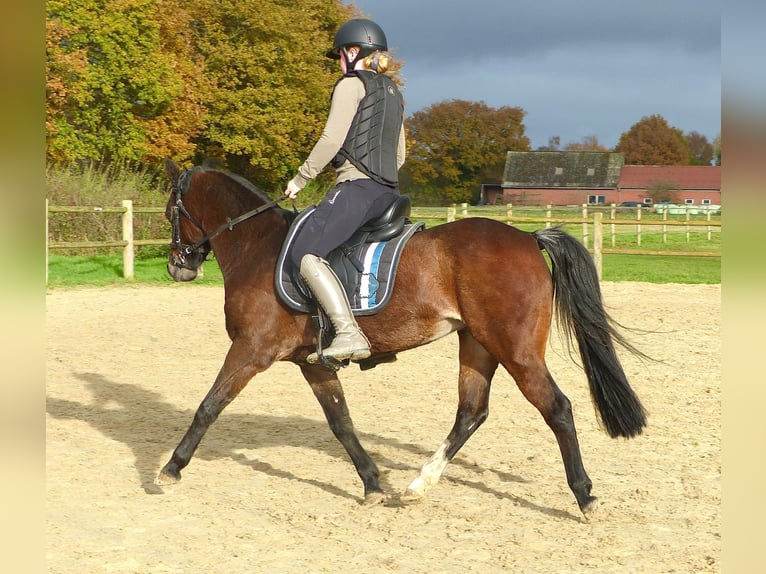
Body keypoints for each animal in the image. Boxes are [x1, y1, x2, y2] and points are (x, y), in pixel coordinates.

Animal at [156, 159, 648, 516]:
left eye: (170, 213)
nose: (177, 266)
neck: (257, 245)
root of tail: (528, 238)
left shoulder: (251, 350)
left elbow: (209, 406)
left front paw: (170, 468)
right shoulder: (312, 362)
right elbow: (341, 423)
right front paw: (372, 483)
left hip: (517, 350)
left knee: (557, 409)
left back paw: (584, 495)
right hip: (478, 345)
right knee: (471, 412)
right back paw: (417, 485)